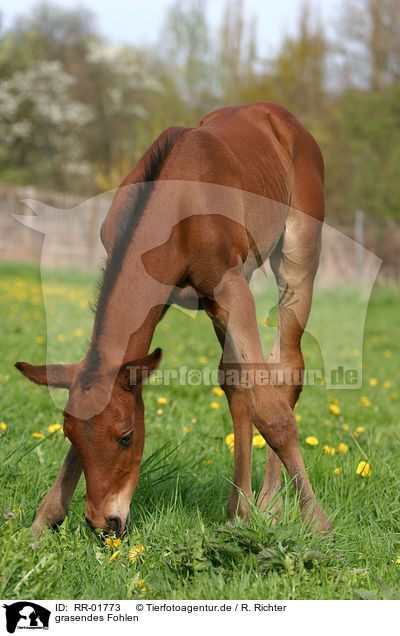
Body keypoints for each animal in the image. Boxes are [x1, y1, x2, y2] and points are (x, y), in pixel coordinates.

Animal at [15, 100, 332, 536]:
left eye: (127, 436)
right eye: (69, 435)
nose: (105, 524)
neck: (176, 203)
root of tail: (281, 116)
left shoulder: (231, 288)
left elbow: (272, 413)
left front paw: (317, 521)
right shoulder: (177, 294)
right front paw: (44, 518)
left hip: (297, 260)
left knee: (285, 368)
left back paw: (270, 503)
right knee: (236, 379)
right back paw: (241, 508)